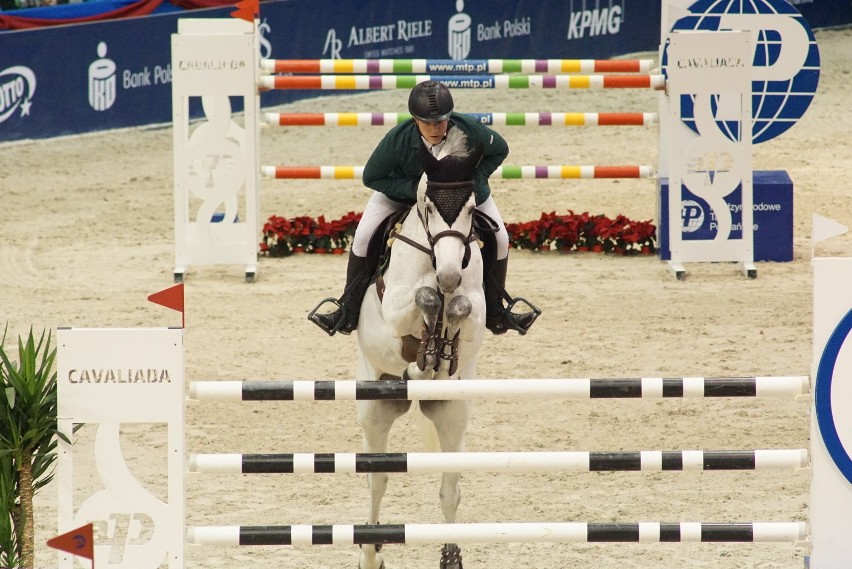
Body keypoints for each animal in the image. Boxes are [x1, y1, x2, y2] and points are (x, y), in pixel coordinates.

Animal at [352, 129, 486, 568]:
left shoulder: (477, 310)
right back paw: (371, 555)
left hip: (452, 412)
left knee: (450, 489)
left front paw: (444, 349)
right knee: (377, 481)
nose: (449, 276)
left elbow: (461, 309)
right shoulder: (394, 306)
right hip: (374, 409)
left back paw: (451, 556)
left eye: (471, 208)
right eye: (428, 205)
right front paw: (427, 345)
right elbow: (422, 300)